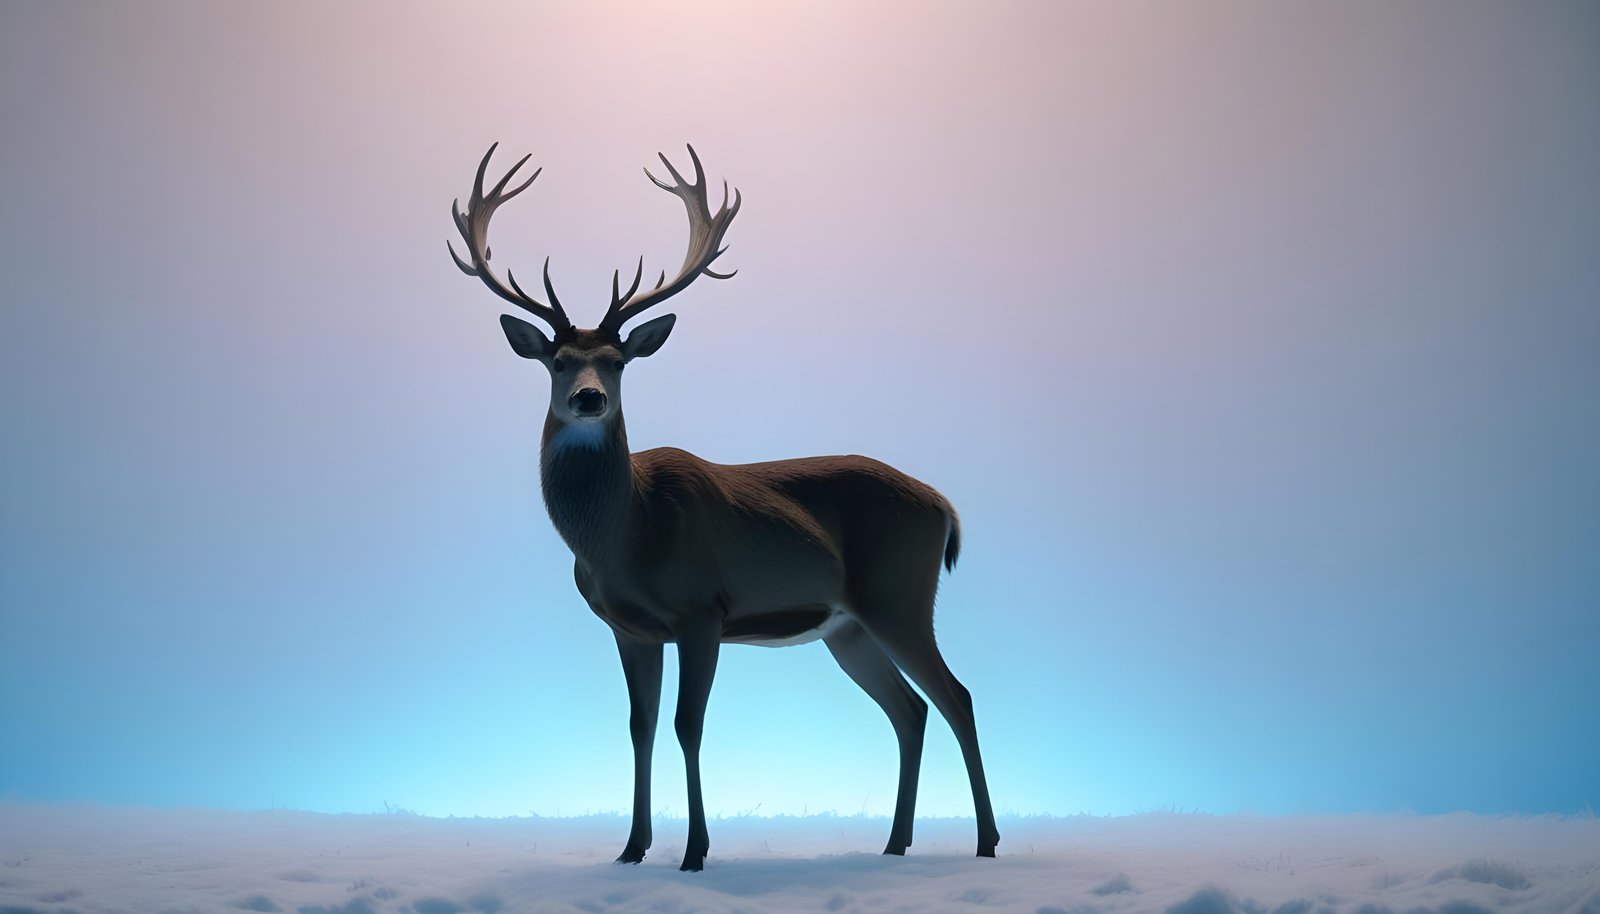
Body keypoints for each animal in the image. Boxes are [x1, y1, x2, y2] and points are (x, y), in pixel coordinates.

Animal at [447, 143, 999, 871]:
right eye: (558, 361)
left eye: (618, 361)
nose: (589, 399)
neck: (624, 537)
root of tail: (944, 506)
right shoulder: (630, 629)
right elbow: (640, 726)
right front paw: (631, 849)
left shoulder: (702, 609)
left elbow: (689, 725)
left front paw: (695, 851)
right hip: (846, 627)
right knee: (910, 710)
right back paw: (894, 843)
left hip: (898, 596)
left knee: (956, 695)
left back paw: (987, 842)